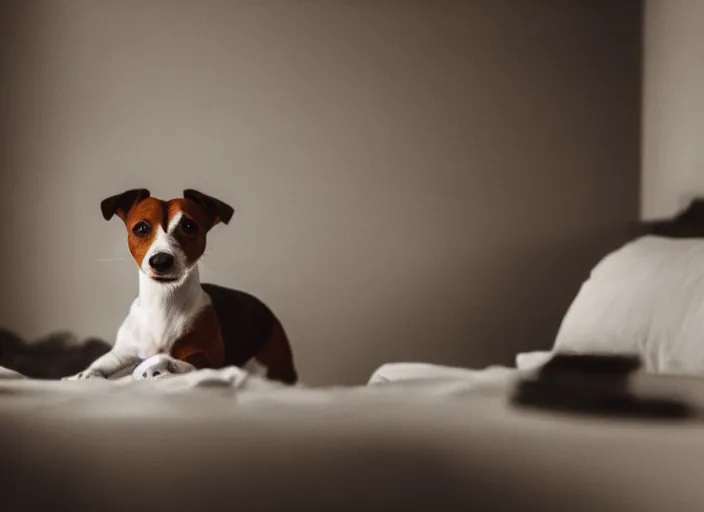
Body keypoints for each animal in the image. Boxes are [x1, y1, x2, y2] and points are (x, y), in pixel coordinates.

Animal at [63, 188, 296, 384]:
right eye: (141, 228)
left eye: (189, 226)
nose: (160, 261)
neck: (163, 302)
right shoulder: (121, 353)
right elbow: (98, 365)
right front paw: (81, 376)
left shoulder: (205, 358)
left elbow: (161, 359)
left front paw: (149, 370)